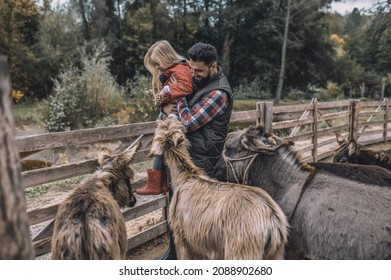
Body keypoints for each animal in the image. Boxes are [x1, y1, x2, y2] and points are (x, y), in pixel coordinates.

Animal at [149, 116, 290, 260]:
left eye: (159, 129)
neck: (185, 176)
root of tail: (273, 222)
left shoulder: (182, 239)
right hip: (275, 254)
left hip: (242, 251)